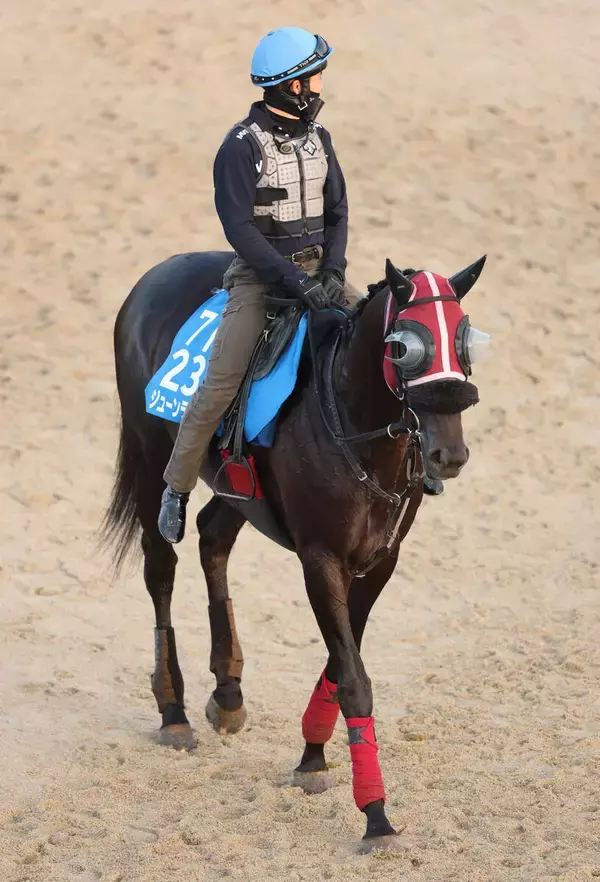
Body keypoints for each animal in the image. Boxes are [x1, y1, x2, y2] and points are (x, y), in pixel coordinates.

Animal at [102, 250, 488, 852]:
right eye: (404, 346)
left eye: (466, 338)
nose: (448, 453)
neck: (355, 429)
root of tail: (156, 273)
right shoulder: (320, 558)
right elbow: (352, 677)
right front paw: (376, 816)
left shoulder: (380, 561)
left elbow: (340, 661)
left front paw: (311, 757)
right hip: (149, 453)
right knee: (161, 562)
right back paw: (173, 711)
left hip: (238, 488)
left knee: (213, 536)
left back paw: (228, 693)